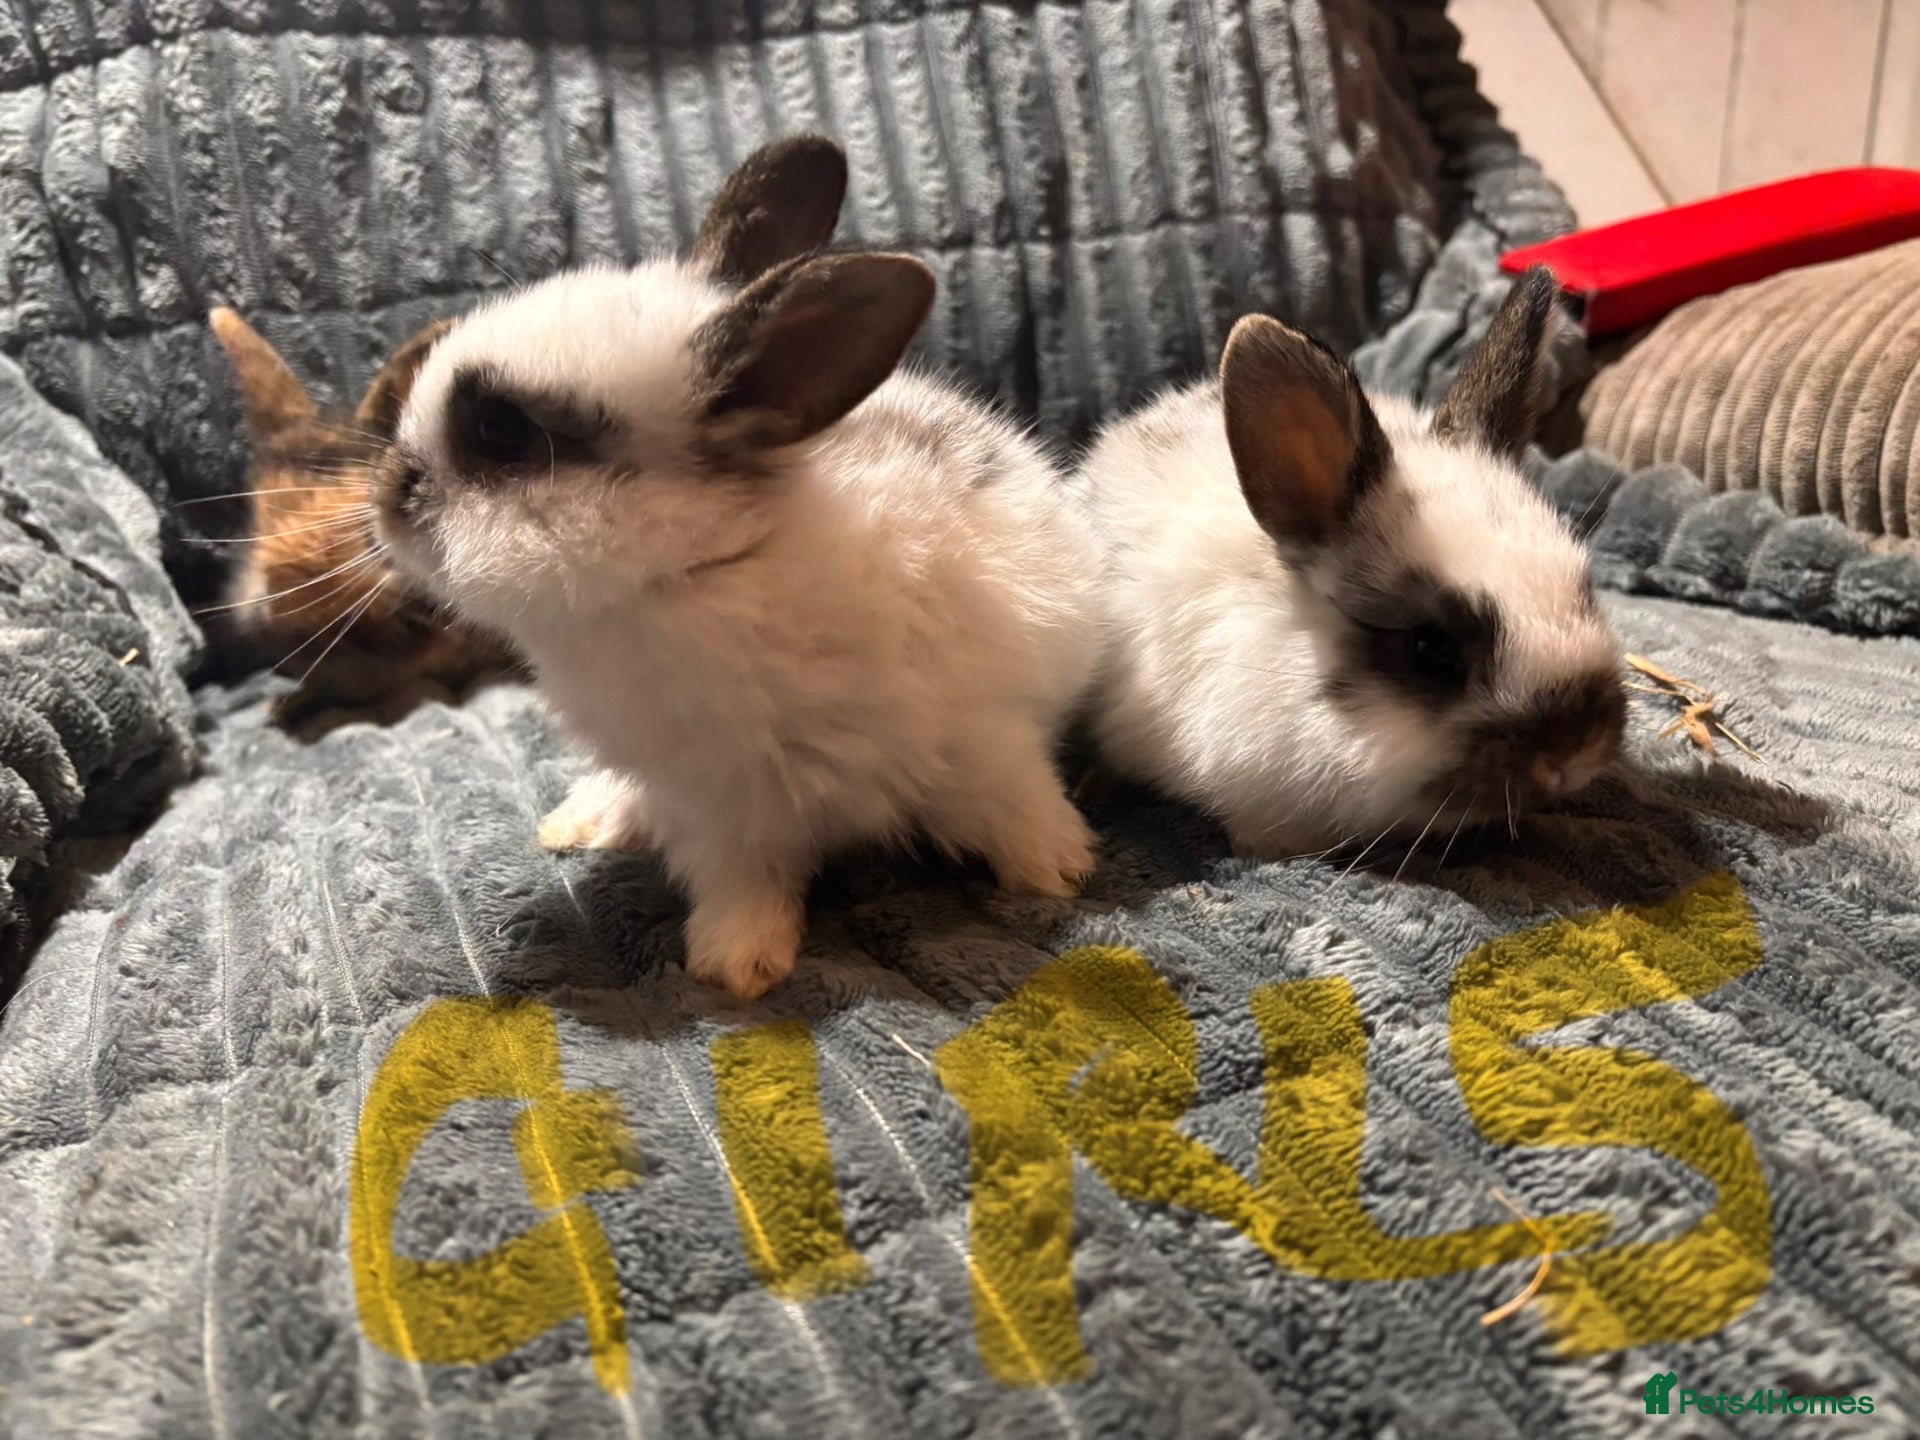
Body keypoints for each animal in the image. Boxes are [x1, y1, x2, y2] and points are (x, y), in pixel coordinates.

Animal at [371, 135, 1104, 999]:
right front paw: (737, 968)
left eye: (500, 430)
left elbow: (1015, 799)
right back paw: (590, 821)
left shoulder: (985, 735)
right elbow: (741, 885)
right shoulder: (719, 810)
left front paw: (1058, 870)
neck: (706, 569)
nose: (387, 496)